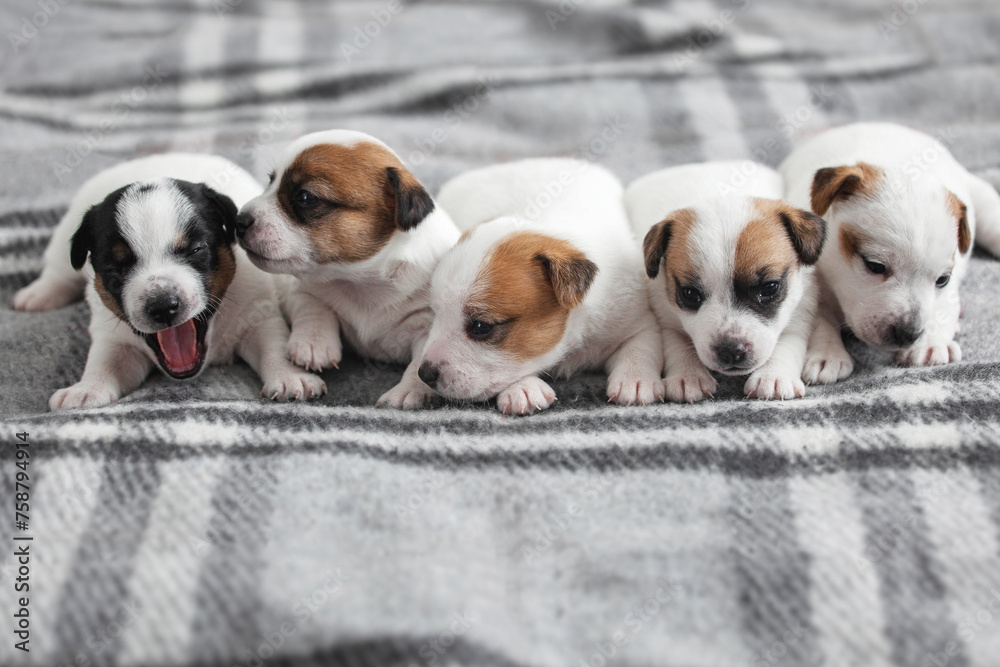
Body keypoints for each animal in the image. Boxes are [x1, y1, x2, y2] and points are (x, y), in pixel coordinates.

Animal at [11, 154, 324, 410]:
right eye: (116, 268)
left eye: (196, 250)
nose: (162, 307)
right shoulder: (113, 338)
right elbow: (104, 362)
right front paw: (86, 389)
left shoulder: (257, 313)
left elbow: (274, 344)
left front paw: (290, 377)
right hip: (64, 239)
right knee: (58, 270)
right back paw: (37, 295)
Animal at [418, 159, 668, 414]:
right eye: (436, 314)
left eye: (481, 327)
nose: (424, 374)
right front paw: (523, 389)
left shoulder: (637, 322)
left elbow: (640, 347)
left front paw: (635, 380)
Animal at [624, 162, 828, 402]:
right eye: (690, 293)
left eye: (769, 288)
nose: (731, 351)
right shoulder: (666, 314)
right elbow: (677, 343)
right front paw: (688, 375)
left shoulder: (800, 309)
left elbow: (788, 342)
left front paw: (773, 376)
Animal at [780, 122, 1000, 378]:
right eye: (875, 265)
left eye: (942, 280)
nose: (909, 334)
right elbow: (819, 316)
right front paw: (827, 352)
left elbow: (943, 306)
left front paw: (930, 343)